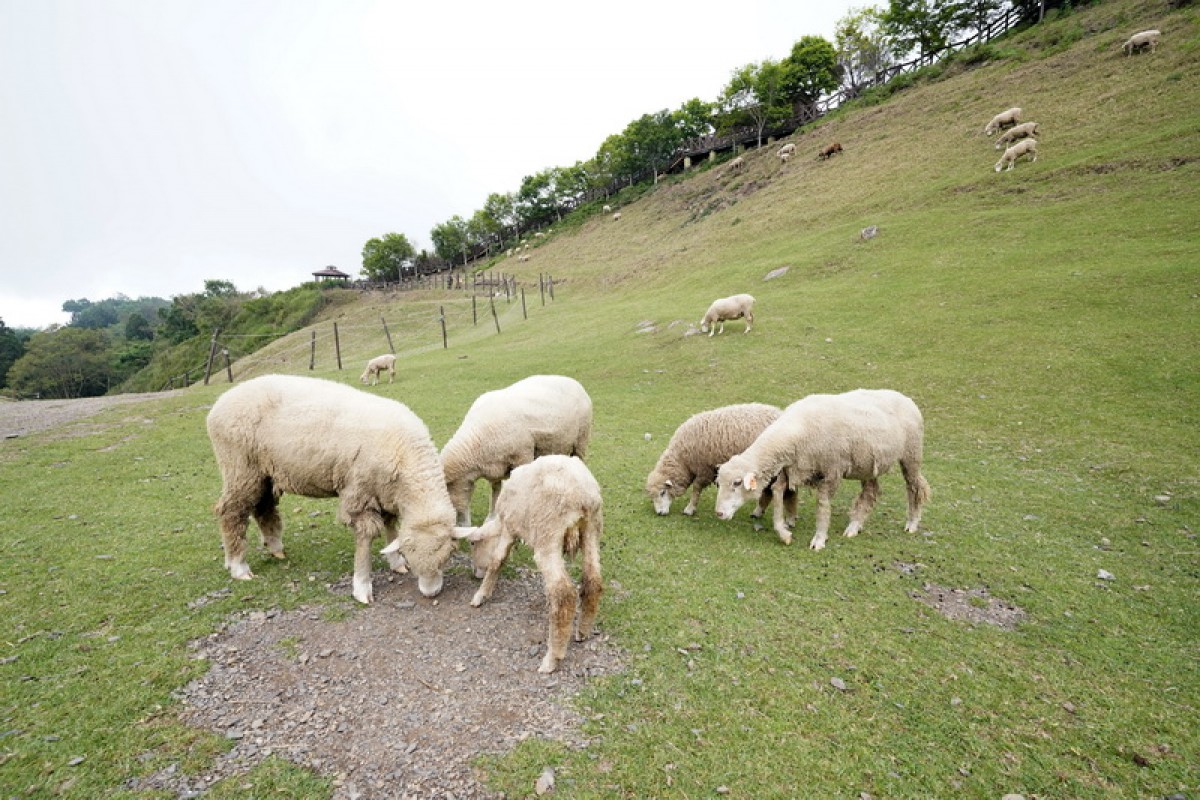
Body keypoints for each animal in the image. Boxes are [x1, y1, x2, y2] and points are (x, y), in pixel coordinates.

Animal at [206, 371, 453, 604]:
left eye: (446, 558)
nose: (431, 593)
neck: (407, 454)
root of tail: (219, 404)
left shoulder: (384, 492)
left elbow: (391, 527)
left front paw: (396, 563)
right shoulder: (359, 493)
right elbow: (366, 536)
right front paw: (362, 587)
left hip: (264, 472)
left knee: (263, 508)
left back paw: (275, 550)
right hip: (240, 467)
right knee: (231, 512)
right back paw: (239, 567)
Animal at [417, 453, 604, 671]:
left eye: (472, 543)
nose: (475, 572)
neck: (499, 521)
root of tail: (582, 495)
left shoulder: (508, 527)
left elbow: (497, 560)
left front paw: (481, 594)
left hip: (548, 535)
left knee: (563, 593)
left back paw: (552, 657)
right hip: (592, 529)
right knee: (593, 580)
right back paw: (583, 631)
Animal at [439, 376, 592, 527]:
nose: (459, 528)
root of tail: (573, 381)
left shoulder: (522, 457)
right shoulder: (495, 467)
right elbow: (496, 490)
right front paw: (492, 517)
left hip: (581, 440)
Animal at [648, 402, 796, 542]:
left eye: (662, 492)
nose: (660, 513)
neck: (683, 460)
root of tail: (779, 412)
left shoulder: (704, 469)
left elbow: (696, 489)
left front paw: (689, 509)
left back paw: (789, 518)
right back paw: (759, 512)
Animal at [715, 391, 931, 554]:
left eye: (736, 483)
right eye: (719, 483)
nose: (719, 513)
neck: (796, 431)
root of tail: (906, 398)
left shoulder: (832, 471)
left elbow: (822, 505)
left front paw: (819, 539)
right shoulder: (790, 469)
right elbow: (777, 493)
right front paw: (784, 534)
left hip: (911, 454)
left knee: (914, 486)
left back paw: (912, 523)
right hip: (867, 465)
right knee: (870, 491)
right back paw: (854, 526)